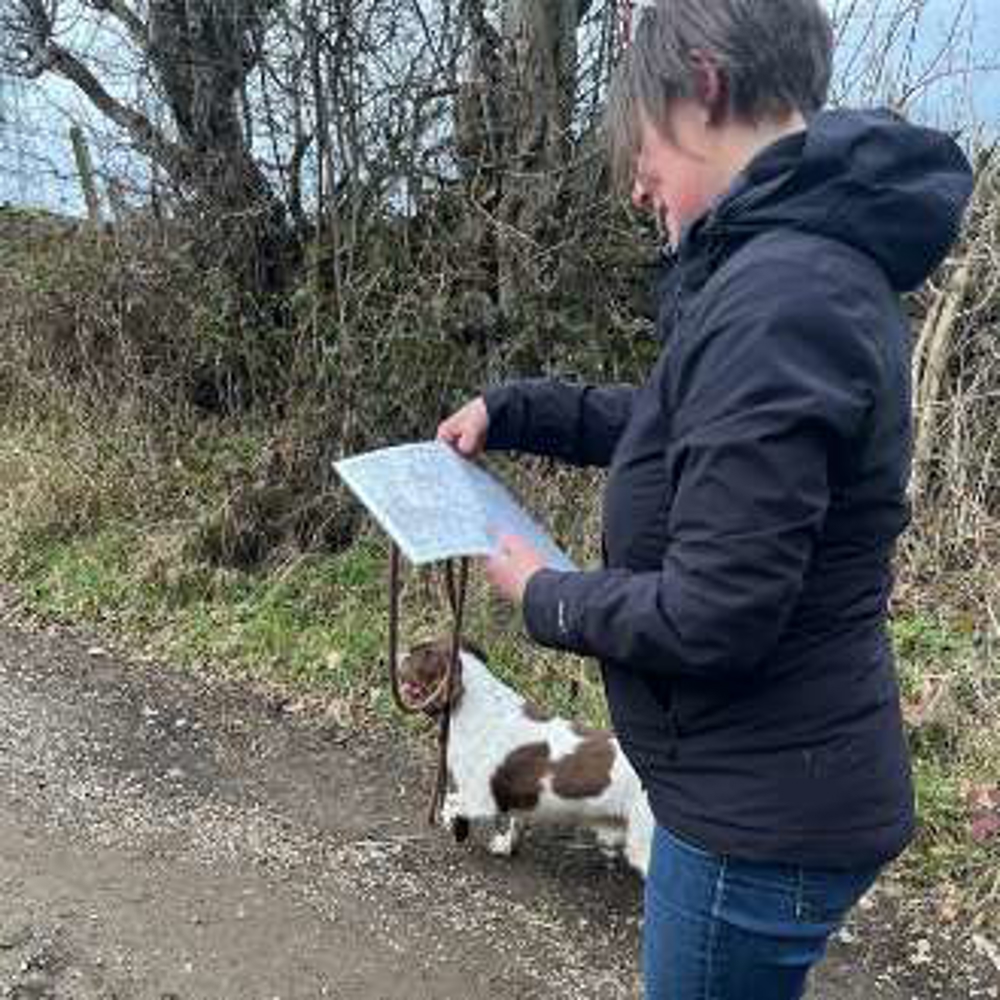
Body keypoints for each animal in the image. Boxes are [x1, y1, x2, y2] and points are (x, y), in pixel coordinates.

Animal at [398, 640, 656, 876]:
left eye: (417, 655)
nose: (396, 655)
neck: (476, 710)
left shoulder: (482, 799)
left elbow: (451, 805)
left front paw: (456, 827)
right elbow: (515, 823)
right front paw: (504, 845)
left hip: (642, 844)